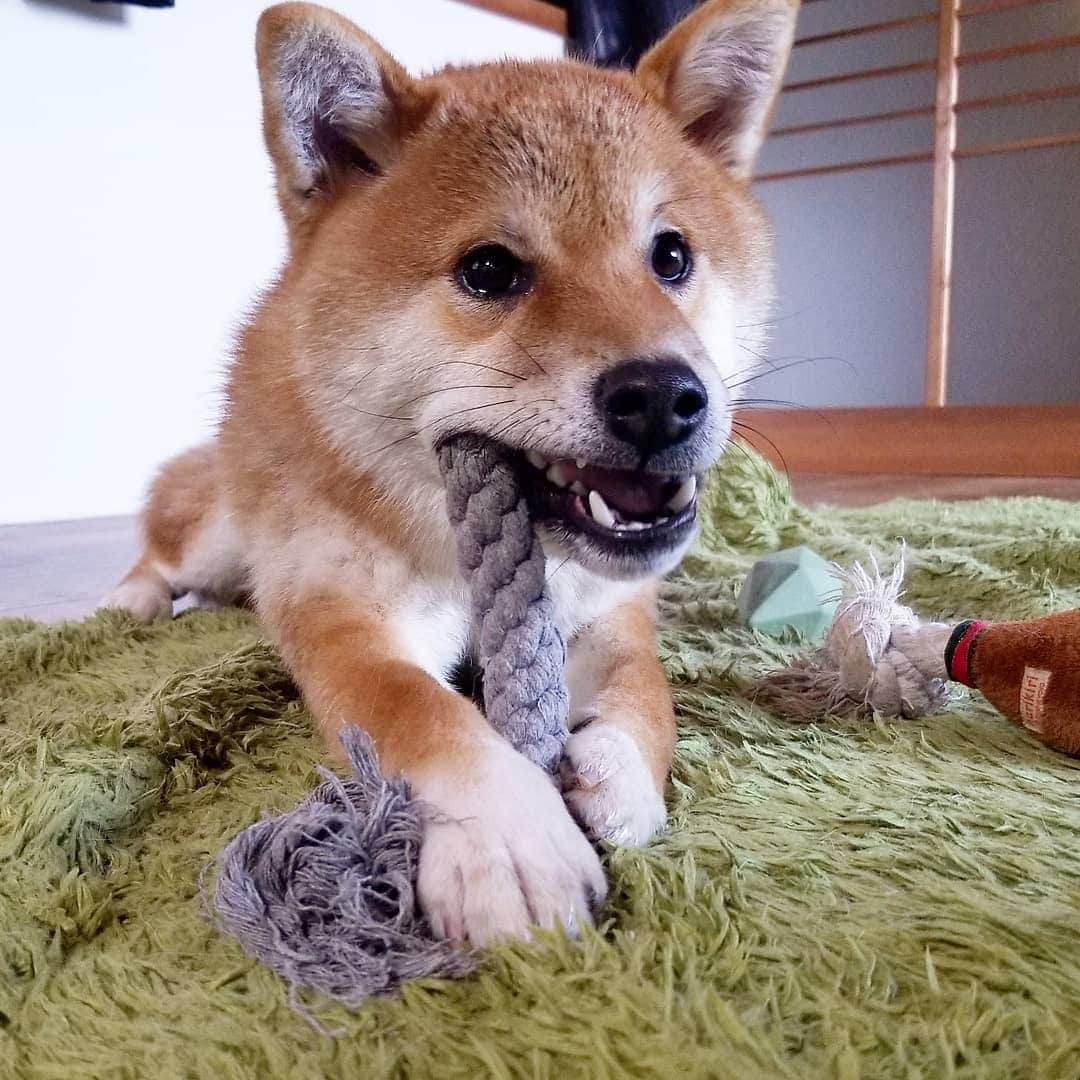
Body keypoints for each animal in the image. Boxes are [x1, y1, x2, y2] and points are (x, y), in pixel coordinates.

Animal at [105, 0, 799, 946]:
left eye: (671, 256)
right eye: (489, 270)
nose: (663, 399)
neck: (456, 548)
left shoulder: (610, 612)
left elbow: (649, 696)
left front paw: (620, 773)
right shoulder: (346, 617)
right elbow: (425, 715)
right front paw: (509, 832)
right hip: (225, 531)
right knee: (162, 551)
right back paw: (132, 602)